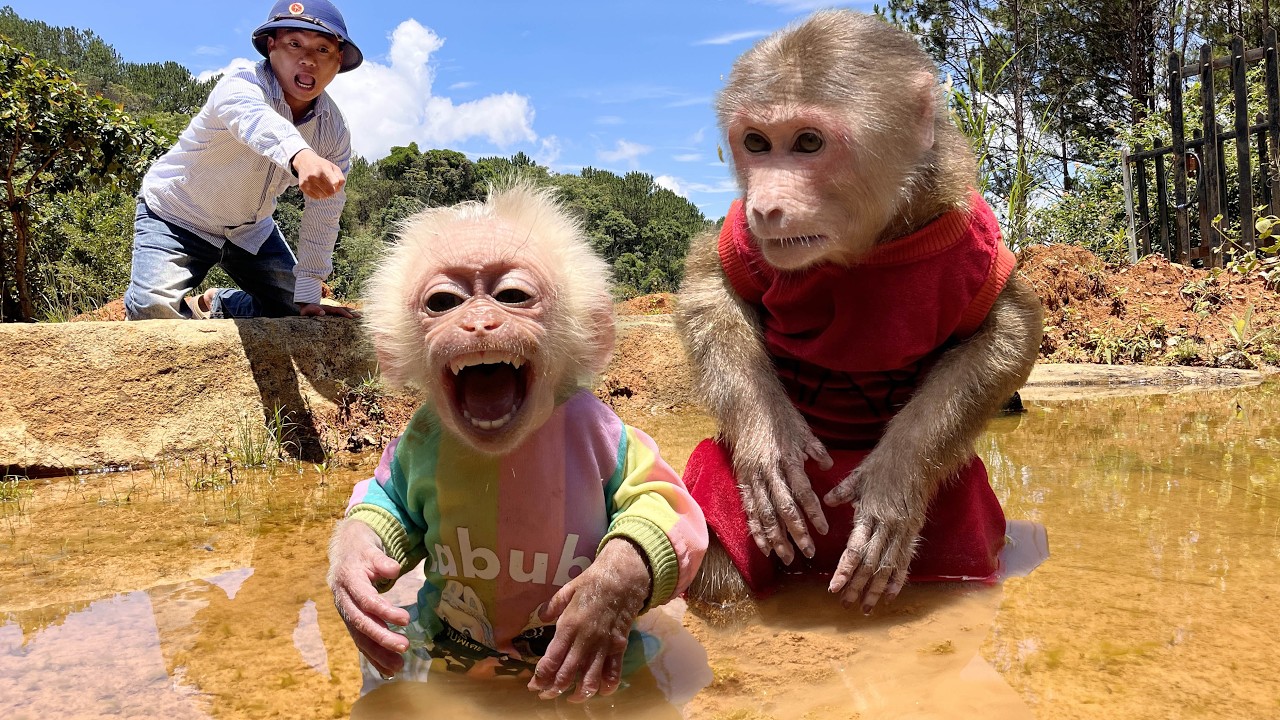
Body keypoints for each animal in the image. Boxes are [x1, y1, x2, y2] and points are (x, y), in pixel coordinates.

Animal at [327, 182, 707, 702]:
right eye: (443, 303)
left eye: (512, 296)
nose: (479, 324)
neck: (502, 453)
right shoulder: (411, 447)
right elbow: (387, 502)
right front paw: (353, 575)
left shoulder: (609, 431)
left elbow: (664, 501)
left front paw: (602, 598)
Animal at [674, 10, 1044, 617]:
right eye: (756, 143)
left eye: (807, 142)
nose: (765, 206)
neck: (867, 248)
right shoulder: (746, 237)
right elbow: (714, 284)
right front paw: (770, 440)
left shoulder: (970, 232)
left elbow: (1008, 326)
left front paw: (896, 480)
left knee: (966, 538)